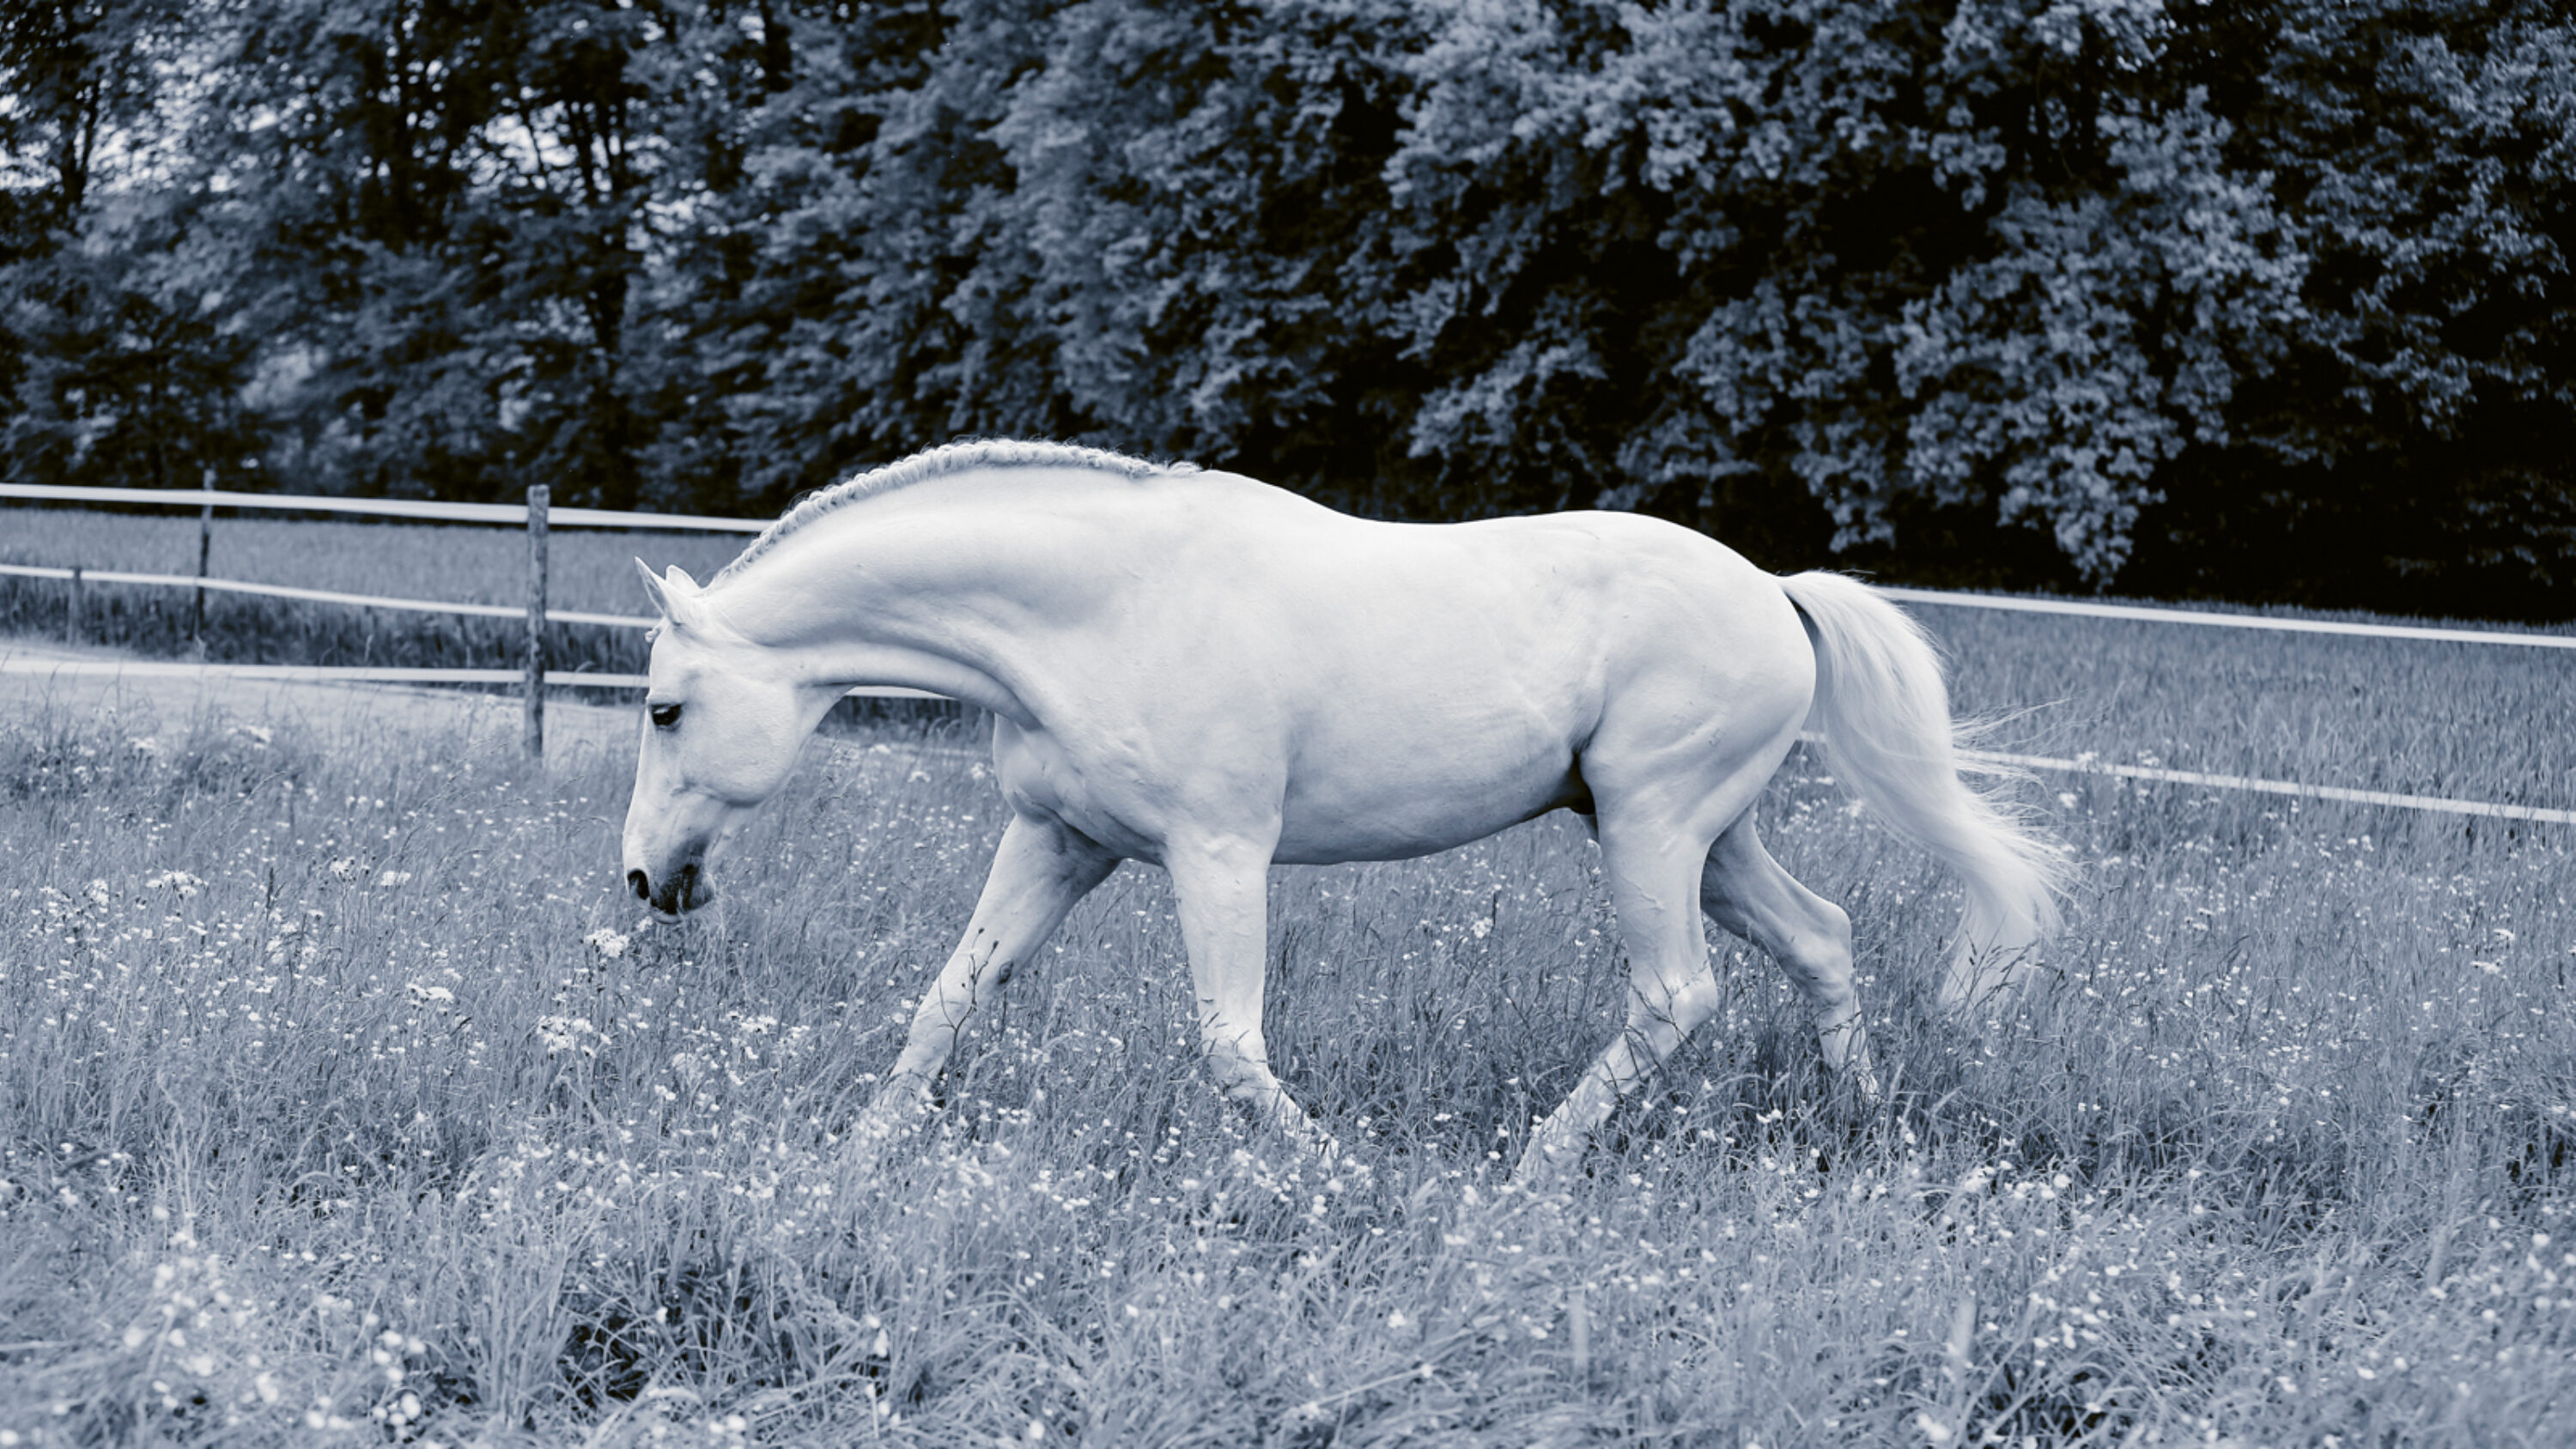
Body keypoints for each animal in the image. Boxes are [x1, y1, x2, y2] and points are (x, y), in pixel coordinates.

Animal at [613, 442, 2061, 1179]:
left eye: (666, 709)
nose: (644, 881)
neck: (1102, 609)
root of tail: (1775, 591)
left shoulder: (1217, 854)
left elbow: (1228, 1045)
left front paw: (1343, 1181)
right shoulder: (1063, 843)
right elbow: (946, 1002)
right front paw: (852, 1170)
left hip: (1656, 829)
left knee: (1675, 996)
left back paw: (1527, 1183)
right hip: (1698, 836)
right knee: (1821, 937)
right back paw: (1864, 1125)